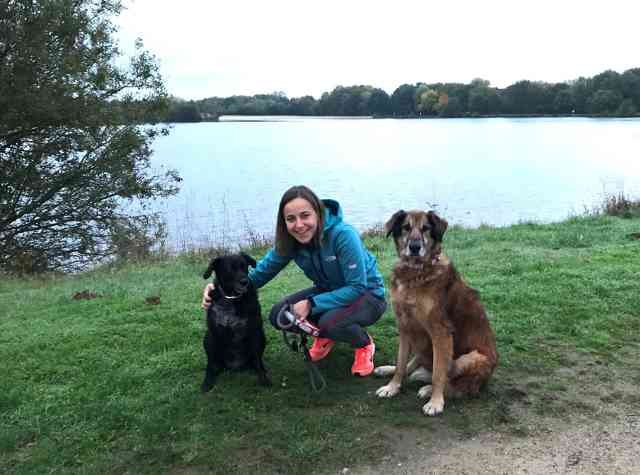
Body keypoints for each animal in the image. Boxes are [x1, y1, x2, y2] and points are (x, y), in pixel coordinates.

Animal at [200, 255, 270, 392]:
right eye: (229, 268)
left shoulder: (255, 331)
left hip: (262, 336)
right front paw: (208, 381)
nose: (245, 281)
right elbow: (211, 364)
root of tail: (235, 366)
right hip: (206, 338)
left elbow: (258, 360)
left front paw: (263, 377)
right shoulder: (213, 333)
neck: (231, 298)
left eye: (244, 266)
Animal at [376, 210, 500, 414]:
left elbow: (438, 374)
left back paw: (429, 389)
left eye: (426, 228)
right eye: (406, 227)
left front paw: (435, 402)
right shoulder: (405, 327)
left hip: (472, 357)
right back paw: (389, 369)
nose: (415, 247)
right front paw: (392, 387)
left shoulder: (440, 333)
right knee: (414, 365)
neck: (416, 272)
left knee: (459, 384)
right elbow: (401, 363)